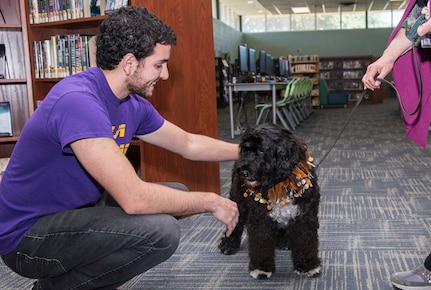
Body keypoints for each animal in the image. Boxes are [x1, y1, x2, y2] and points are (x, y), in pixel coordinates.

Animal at [219, 122, 320, 278]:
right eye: (245, 150)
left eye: (261, 150)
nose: (243, 172)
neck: (279, 182)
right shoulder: (260, 218)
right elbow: (261, 243)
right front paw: (261, 267)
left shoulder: (304, 216)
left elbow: (305, 242)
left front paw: (308, 265)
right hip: (238, 201)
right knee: (236, 224)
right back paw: (229, 244)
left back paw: (284, 241)